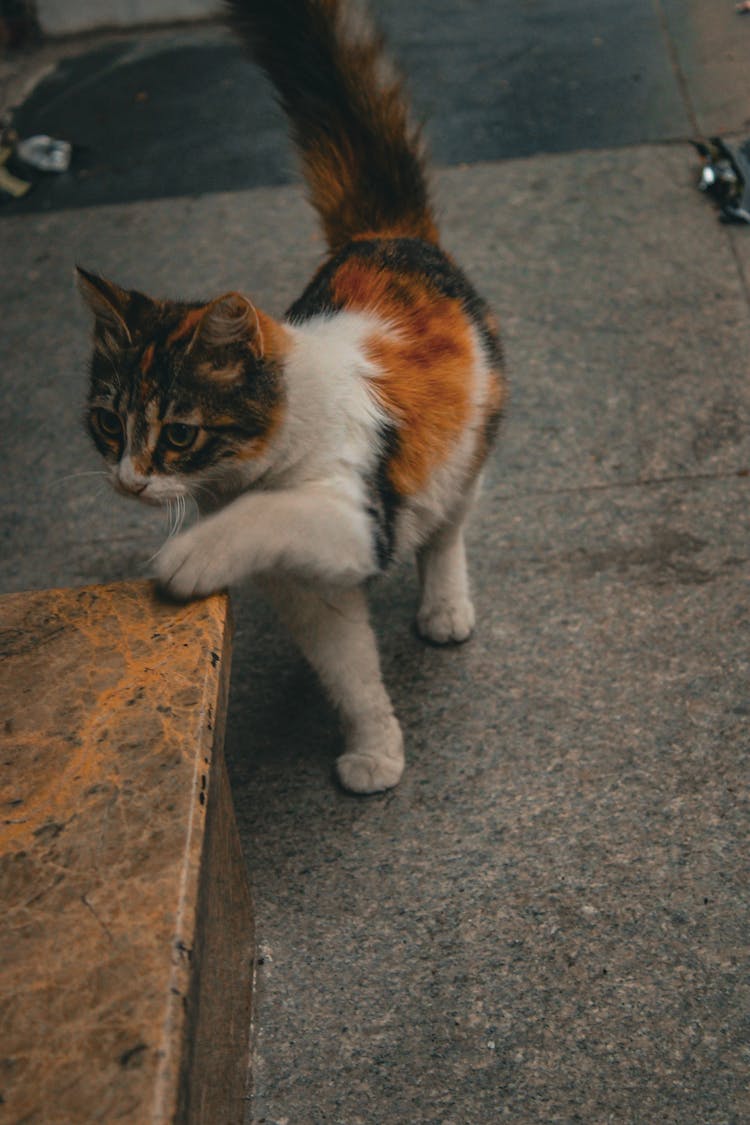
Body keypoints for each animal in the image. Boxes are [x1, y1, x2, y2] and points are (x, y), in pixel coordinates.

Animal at [77, 0, 503, 796]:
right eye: (108, 424)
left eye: (178, 433)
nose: (128, 481)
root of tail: (384, 236)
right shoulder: (312, 591)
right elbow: (351, 674)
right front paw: (376, 749)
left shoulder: (358, 518)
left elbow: (269, 514)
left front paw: (189, 556)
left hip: (468, 450)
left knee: (447, 527)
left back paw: (444, 606)